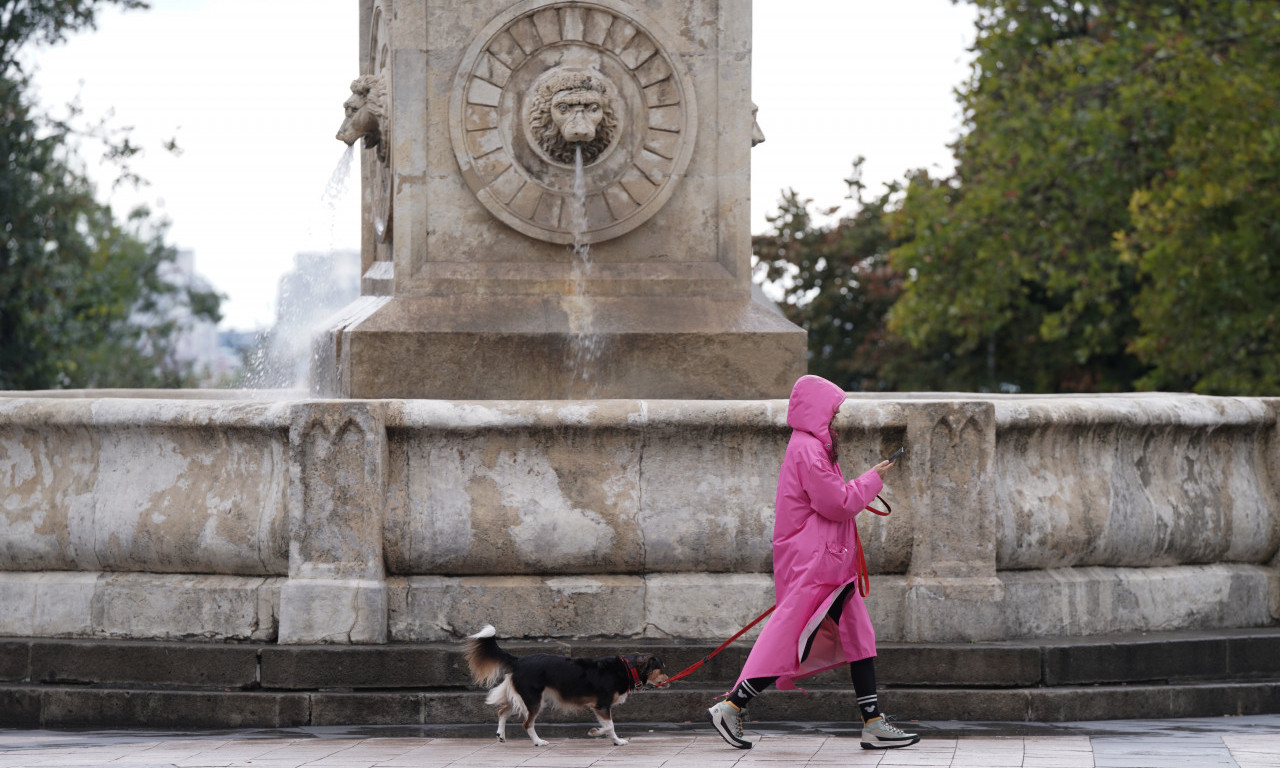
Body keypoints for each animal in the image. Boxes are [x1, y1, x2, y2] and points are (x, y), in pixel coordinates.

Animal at [468, 624, 670, 742]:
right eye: (661, 668)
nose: (669, 681)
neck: (628, 668)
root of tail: (519, 660)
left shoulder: (599, 707)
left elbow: (608, 726)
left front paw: (611, 739)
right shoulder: (602, 705)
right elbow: (610, 726)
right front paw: (600, 734)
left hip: (526, 698)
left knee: (502, 711)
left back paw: (501, 735)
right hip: (534, 700)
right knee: (527, 724)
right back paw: (538, 742)